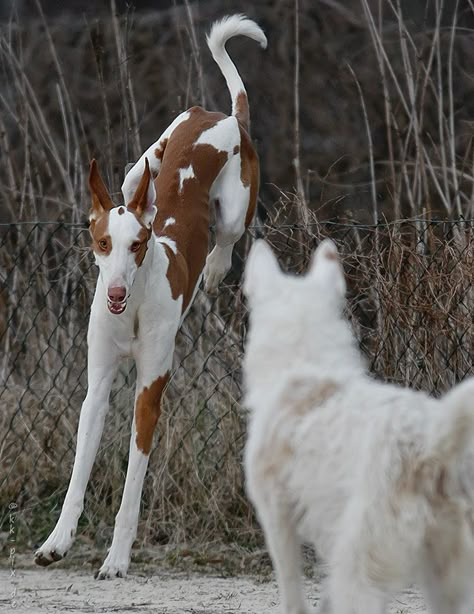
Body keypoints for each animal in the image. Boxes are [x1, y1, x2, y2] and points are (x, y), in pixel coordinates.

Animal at [36, 15, 266, 584]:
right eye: (101, 244)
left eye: (138, 247)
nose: (116, 291)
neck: (134, 308)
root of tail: (222, 115)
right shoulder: (96, 390)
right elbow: (78, 475)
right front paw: (56, 541)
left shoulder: (148, 394)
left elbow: (132, 485)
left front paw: (116, 558)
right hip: (138, 164)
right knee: (136, 176)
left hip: (235, 208)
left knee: (228, 234)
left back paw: (215, 267)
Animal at [243, 239, 474, 614]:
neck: (305, 364)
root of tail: (430, 442)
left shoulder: (277, 518)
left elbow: (292, 592)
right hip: (448, 579)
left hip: (362, 566)